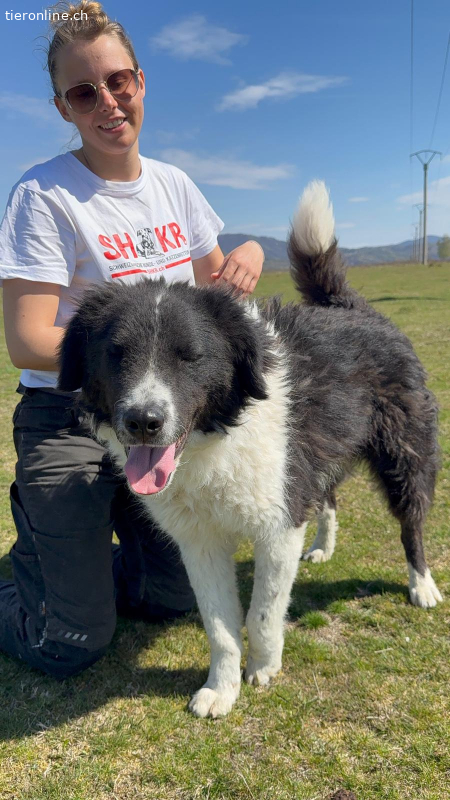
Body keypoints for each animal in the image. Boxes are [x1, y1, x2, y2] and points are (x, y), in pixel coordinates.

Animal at [58, 181, 443, 718]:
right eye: (115, 354)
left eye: (190, 356)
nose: (142, 422)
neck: (216, 438)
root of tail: (350, 307)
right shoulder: (199, 541)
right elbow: (220, 626)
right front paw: (222, 688)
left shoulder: (277, 526)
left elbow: (261, 612)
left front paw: (263, 667)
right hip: (315, 457)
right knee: (327, 497)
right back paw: (323, 547)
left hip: (404, 454)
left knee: (412, 522)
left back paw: (421, 584)